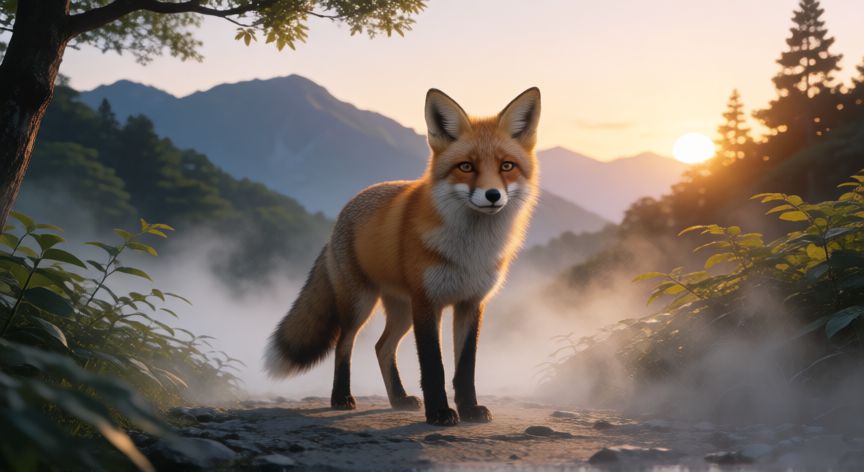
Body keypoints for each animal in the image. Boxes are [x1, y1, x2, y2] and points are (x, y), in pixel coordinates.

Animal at [264, 87, 541, 426]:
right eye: (466, 167)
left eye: (506, 166)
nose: (492, 195)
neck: (470, 251)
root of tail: (342, 214)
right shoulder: (427, 302)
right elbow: (434, 366)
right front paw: (439, 413)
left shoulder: (471, 303)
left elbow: (465, 368)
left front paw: (469, 409)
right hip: (361, 304)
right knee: (344, 344)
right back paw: (341, 397)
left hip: (401, 310)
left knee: (382, 347)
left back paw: (397, 398)